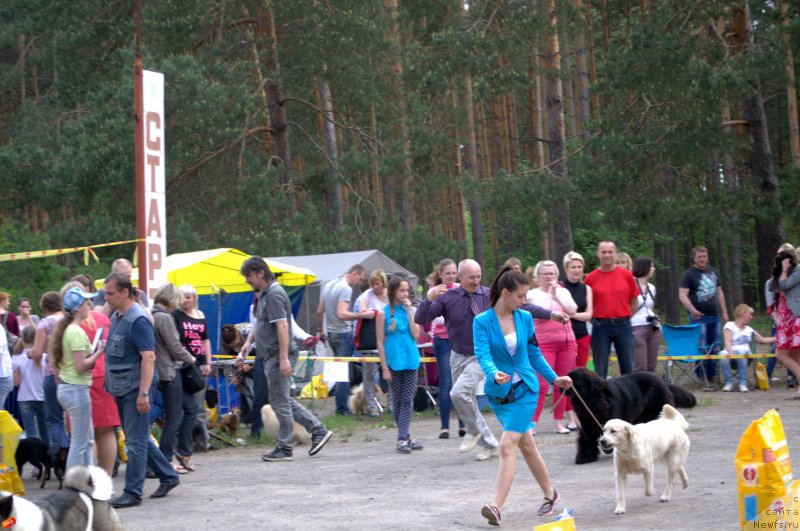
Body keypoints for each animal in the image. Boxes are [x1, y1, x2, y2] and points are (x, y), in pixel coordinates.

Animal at [564, 368, 696, 464]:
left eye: (573, 381)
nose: (560, 386)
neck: (593, 400)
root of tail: (663, 381)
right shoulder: (587, 424)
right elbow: (586, 439)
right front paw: (585, 457)